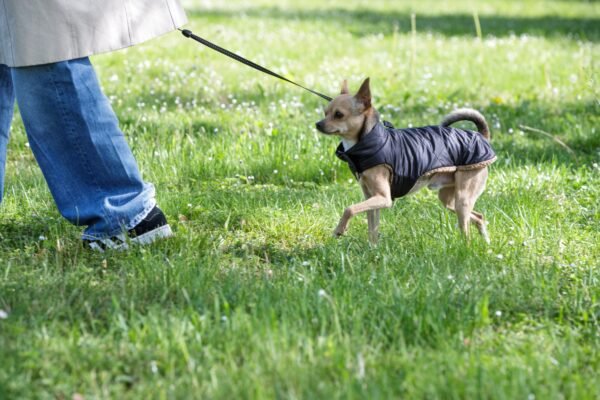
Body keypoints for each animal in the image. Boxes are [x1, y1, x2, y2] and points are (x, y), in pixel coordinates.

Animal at [318, 76, 496, 242]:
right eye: (325, 112)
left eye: (339, 115)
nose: (318, 124)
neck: (368, 140)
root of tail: (481, 136)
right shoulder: (371, 199)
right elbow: (372, 230)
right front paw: (372, 250)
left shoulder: (383, 198)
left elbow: (349, 209)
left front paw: (339, 229)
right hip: (448, 200)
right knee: (479, 217)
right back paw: (486, 243)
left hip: (462, 200)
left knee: (466, 230)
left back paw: (467, 247)